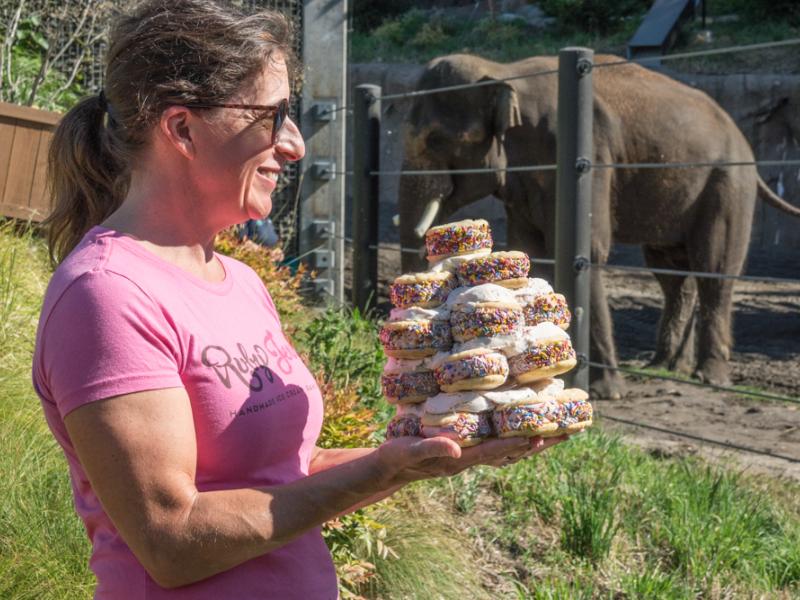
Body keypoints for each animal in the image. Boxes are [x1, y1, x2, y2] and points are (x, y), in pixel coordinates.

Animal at [398, 52, 800, 398]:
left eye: (436, 140)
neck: (503, 71)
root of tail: (743, 140)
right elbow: (534, 252)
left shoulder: (585, 155)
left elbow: (587, 252)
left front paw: (608, 392)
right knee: (672, 275)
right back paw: (666, 367)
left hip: (727, 186)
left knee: (713, 269)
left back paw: (708, 376)